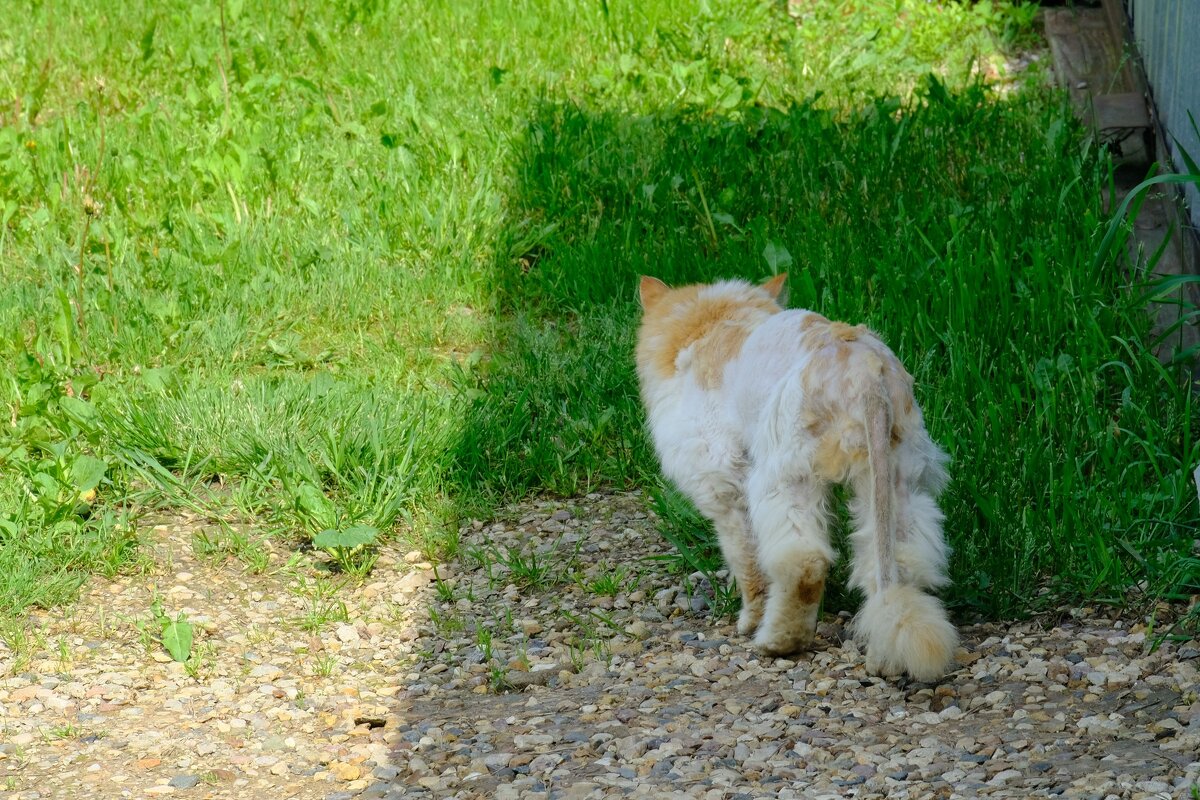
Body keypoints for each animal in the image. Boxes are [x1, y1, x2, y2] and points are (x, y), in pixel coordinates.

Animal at [638, 273, 955, 681]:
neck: (711, 324)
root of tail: (866, 369)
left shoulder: (726, 487)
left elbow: (748, 564)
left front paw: (749, 621)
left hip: (785, 476)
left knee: (806, 564)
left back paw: (778, 642)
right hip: (897, 484)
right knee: (896, 567)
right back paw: (883, 660)